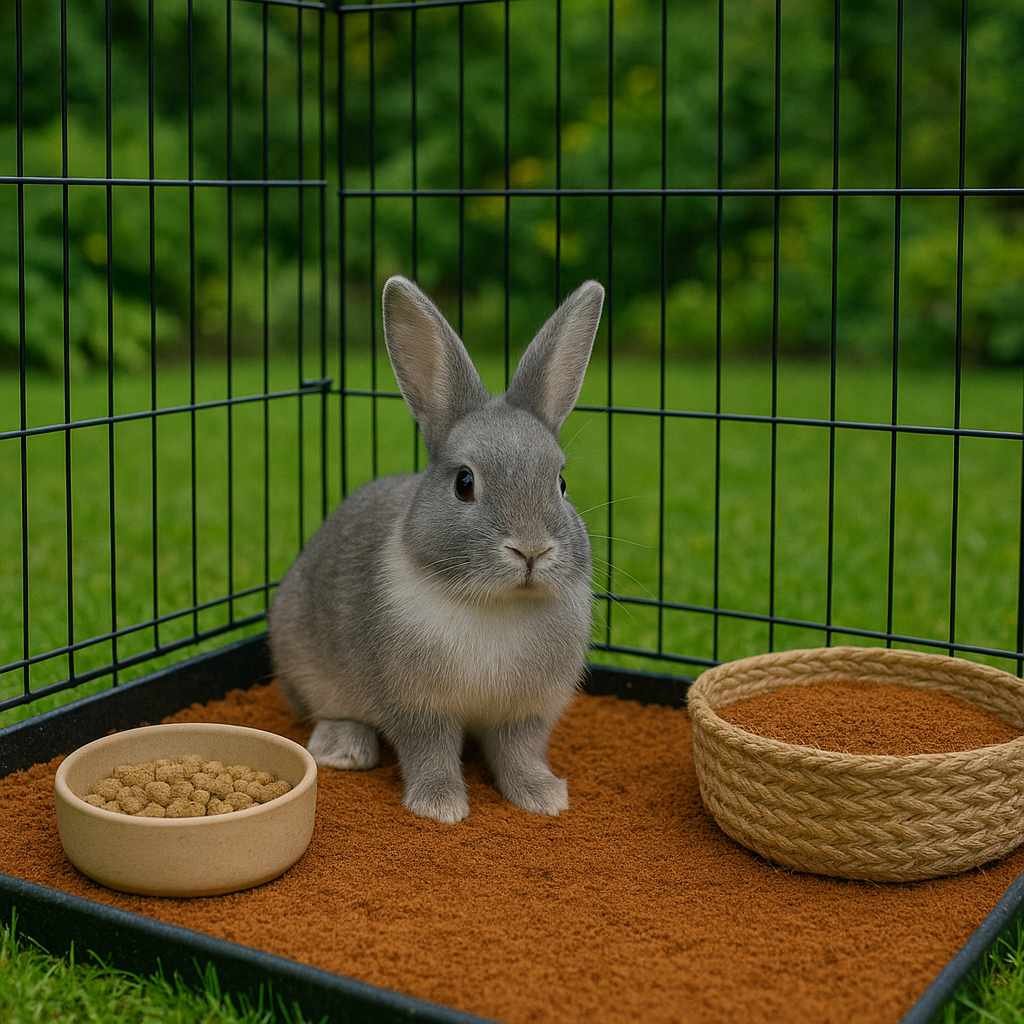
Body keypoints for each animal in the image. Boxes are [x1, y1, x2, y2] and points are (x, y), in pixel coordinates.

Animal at [269, 275, 605, 823]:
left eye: (561, 483)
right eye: (464, 483)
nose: (531, 550)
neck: (496, 606)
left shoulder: (527, 712)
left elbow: (519, 752)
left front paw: (543, 798)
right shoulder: (420, 707)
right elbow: (431, 752)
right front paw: (440, 806)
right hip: (303, 661)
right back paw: (343, 749)